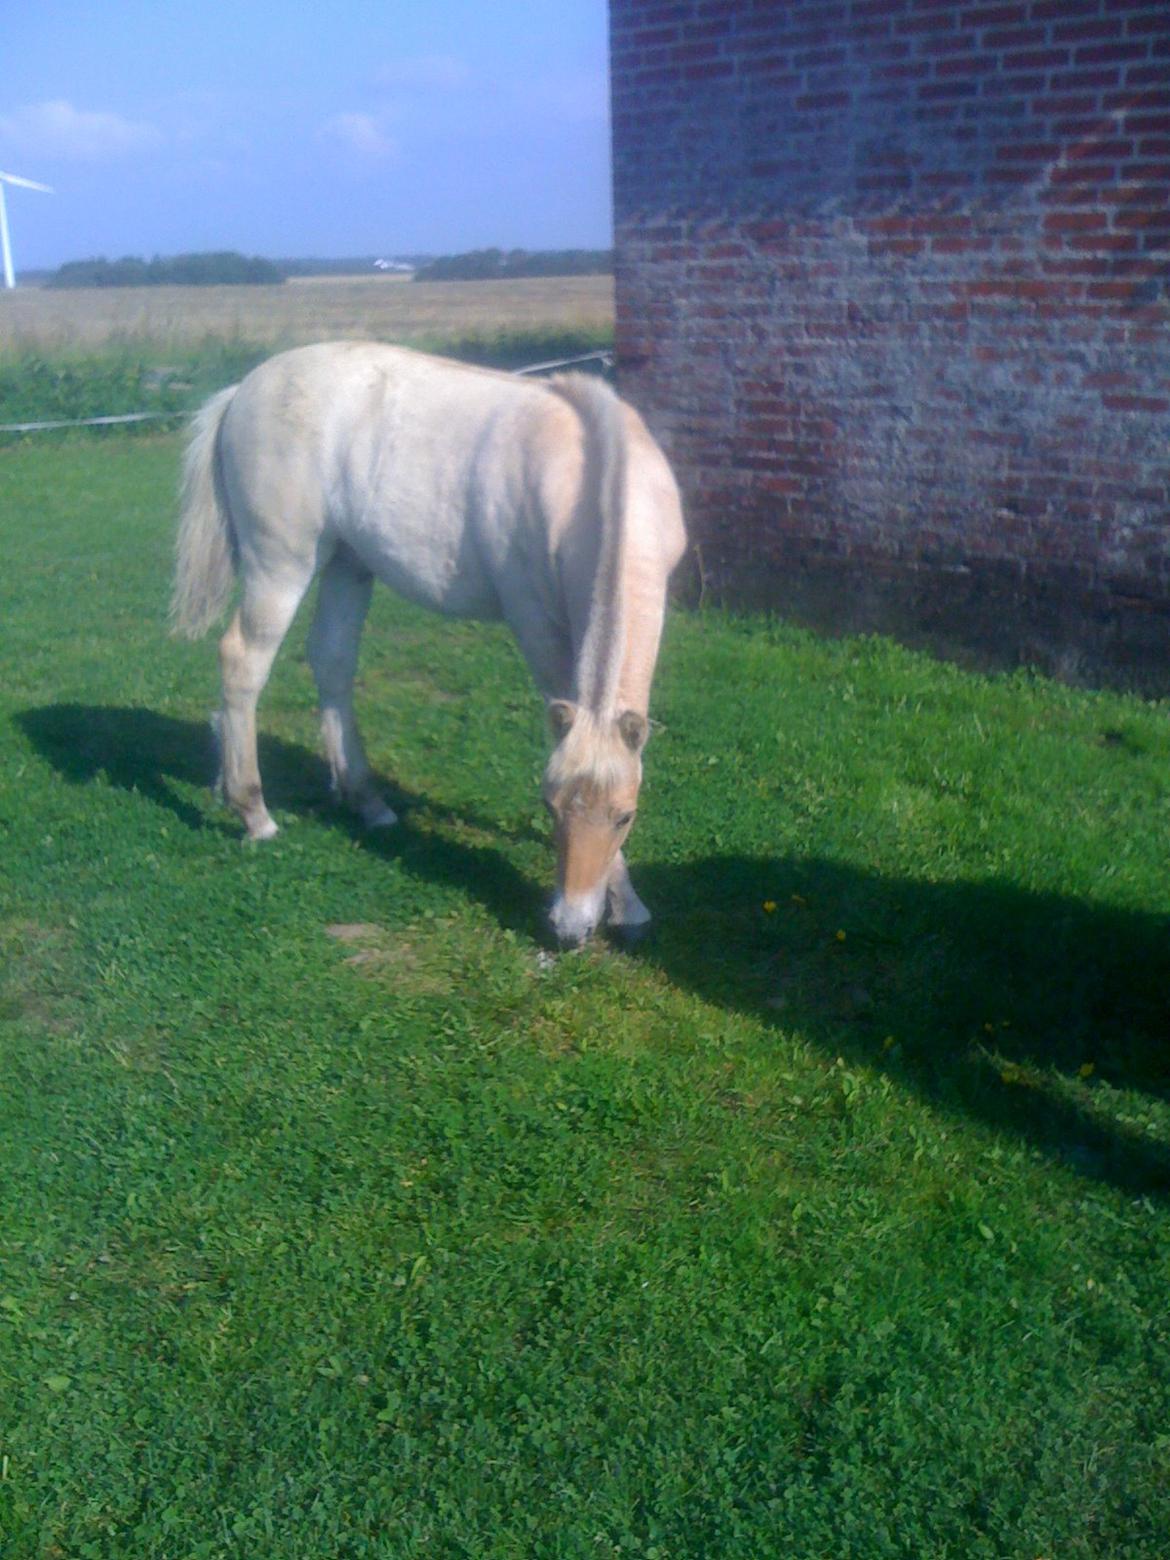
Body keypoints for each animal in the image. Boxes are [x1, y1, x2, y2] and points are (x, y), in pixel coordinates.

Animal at [173, 343, 686, 942]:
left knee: (332, 661)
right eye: (550, 806)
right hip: (280, 567)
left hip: (349, 562)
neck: (591, 473)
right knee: (242, 663)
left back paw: (368, 802)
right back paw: (253, 812)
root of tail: (243, 391)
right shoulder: (534, 618)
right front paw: (623, 902)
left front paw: (627, 906)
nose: (569, 928)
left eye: (625, 815)